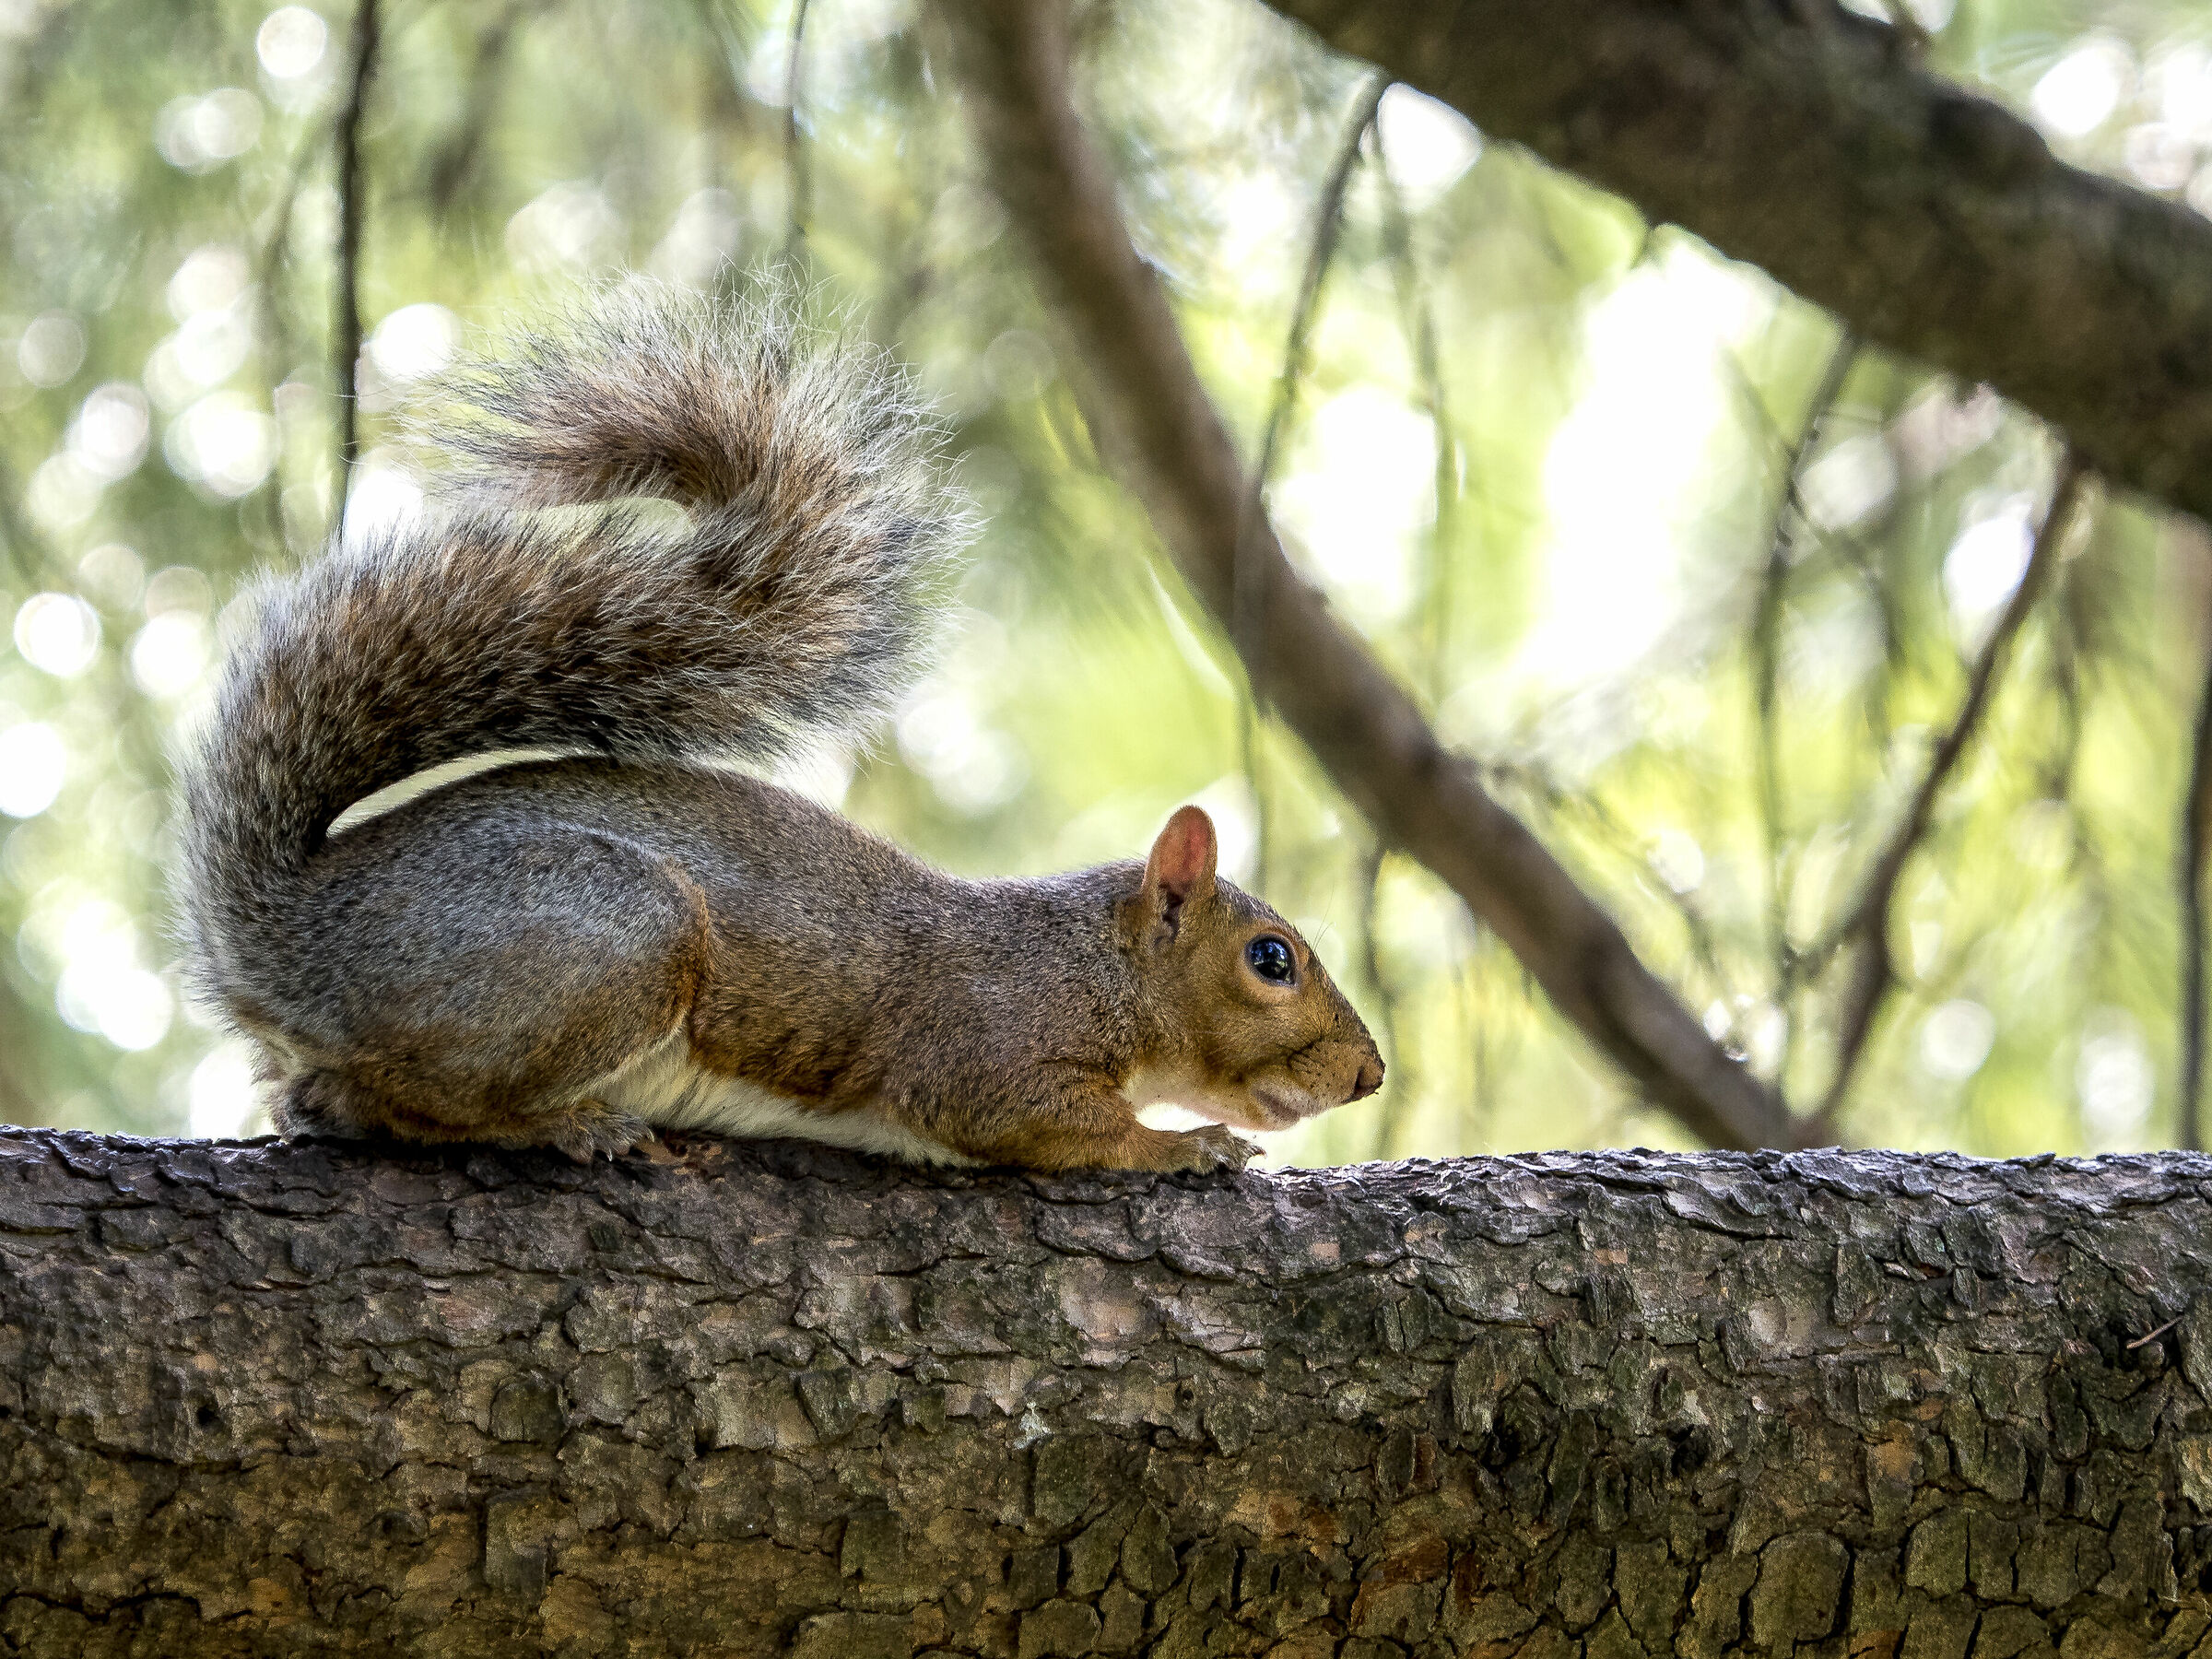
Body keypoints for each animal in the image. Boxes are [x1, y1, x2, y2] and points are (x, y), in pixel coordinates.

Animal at [175, 283, 1384, 1174]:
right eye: (1271, 959)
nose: (1371, 1074)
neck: (1093, 963)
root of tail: (292, 933)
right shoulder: (988, 1048)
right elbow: (1047, 1125)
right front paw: (1188, 1145)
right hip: (610, 932)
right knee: (378, 1091)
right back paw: (561, 1124)